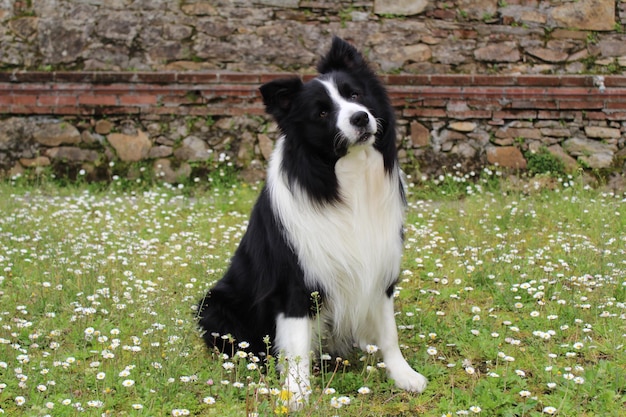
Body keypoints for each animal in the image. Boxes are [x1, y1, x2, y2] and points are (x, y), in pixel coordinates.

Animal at [197, 35, 426, 406]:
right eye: (321, 112)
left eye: (355, 95)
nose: (361, 118)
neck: (347, 178)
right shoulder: (296, 282)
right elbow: (297, 347)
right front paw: (296, 393)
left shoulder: (380, 267)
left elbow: (389, 332)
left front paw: (403, 375)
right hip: (214, 304)